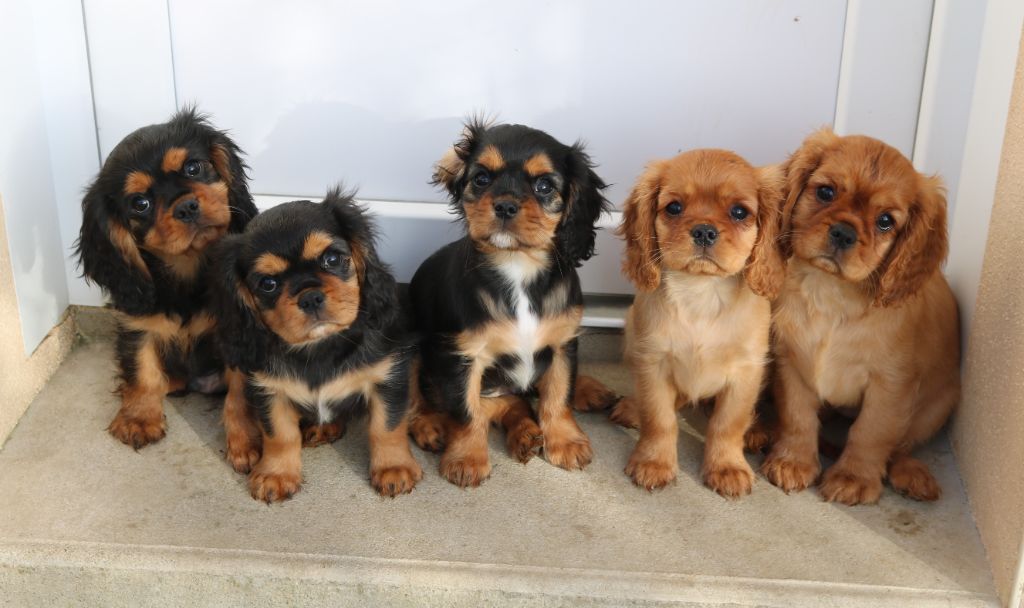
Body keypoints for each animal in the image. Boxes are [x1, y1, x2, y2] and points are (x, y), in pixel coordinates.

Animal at [75, 107, 258, 454]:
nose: (186, 207)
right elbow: (142, 369)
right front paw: (138, 418)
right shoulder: (136, 324)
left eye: (193, 167)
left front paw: (248, 439)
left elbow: (241, 388)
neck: (187, 268)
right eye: (140, 203)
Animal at [214, 188, 421, 497]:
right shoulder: (269, 390)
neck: (319, 348)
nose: (310, 297)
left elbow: (387, 426)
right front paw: (276, 474)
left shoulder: (388, 377)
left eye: (332, 259)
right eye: (268, 284)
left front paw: (394, 468)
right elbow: (279, 434)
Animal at [407, 120, 610, 485]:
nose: (504, 205)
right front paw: (466, 459)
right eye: (481, 178)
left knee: (515, 402)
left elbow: (558, 395)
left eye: (544, 185)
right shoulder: (463, 356)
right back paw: (430, 426)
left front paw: (565, 442)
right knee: (421, 399)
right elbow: (466, 410)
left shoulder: (562, 344)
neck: (517, 265)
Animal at [614, 149, 782, 495]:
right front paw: (654, 462)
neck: (702, 293)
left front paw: (727, 467)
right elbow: (659, 418)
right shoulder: (652, 362)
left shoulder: (746, 371)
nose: (704, 230)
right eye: (674, 207)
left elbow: (728, 423)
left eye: (739, 212)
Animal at [770, 127, 958, 501]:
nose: (844, 232)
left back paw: (912, 475)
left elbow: (872, 432)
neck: (833, 294)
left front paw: (853, 477)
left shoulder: (891, 385)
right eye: (826, 192)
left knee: (902, 446)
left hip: (939, 405)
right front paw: (793, 461)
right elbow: (797, 416)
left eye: (885, 221)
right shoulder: (793, 363)